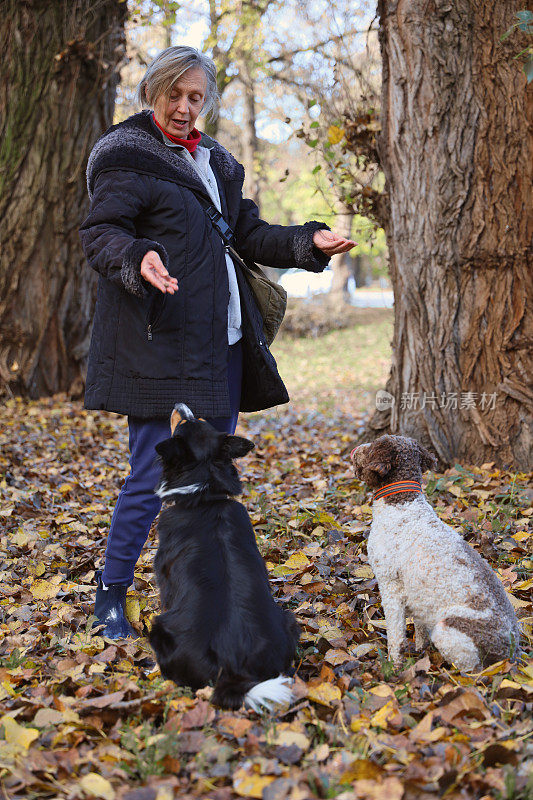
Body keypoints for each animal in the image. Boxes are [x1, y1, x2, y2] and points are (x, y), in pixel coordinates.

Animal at [150, 404, 300, 708]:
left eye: (181, 424)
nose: (180, 405)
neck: (204, 497)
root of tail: (234, 668)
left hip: (158, 628)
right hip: (289, 621)